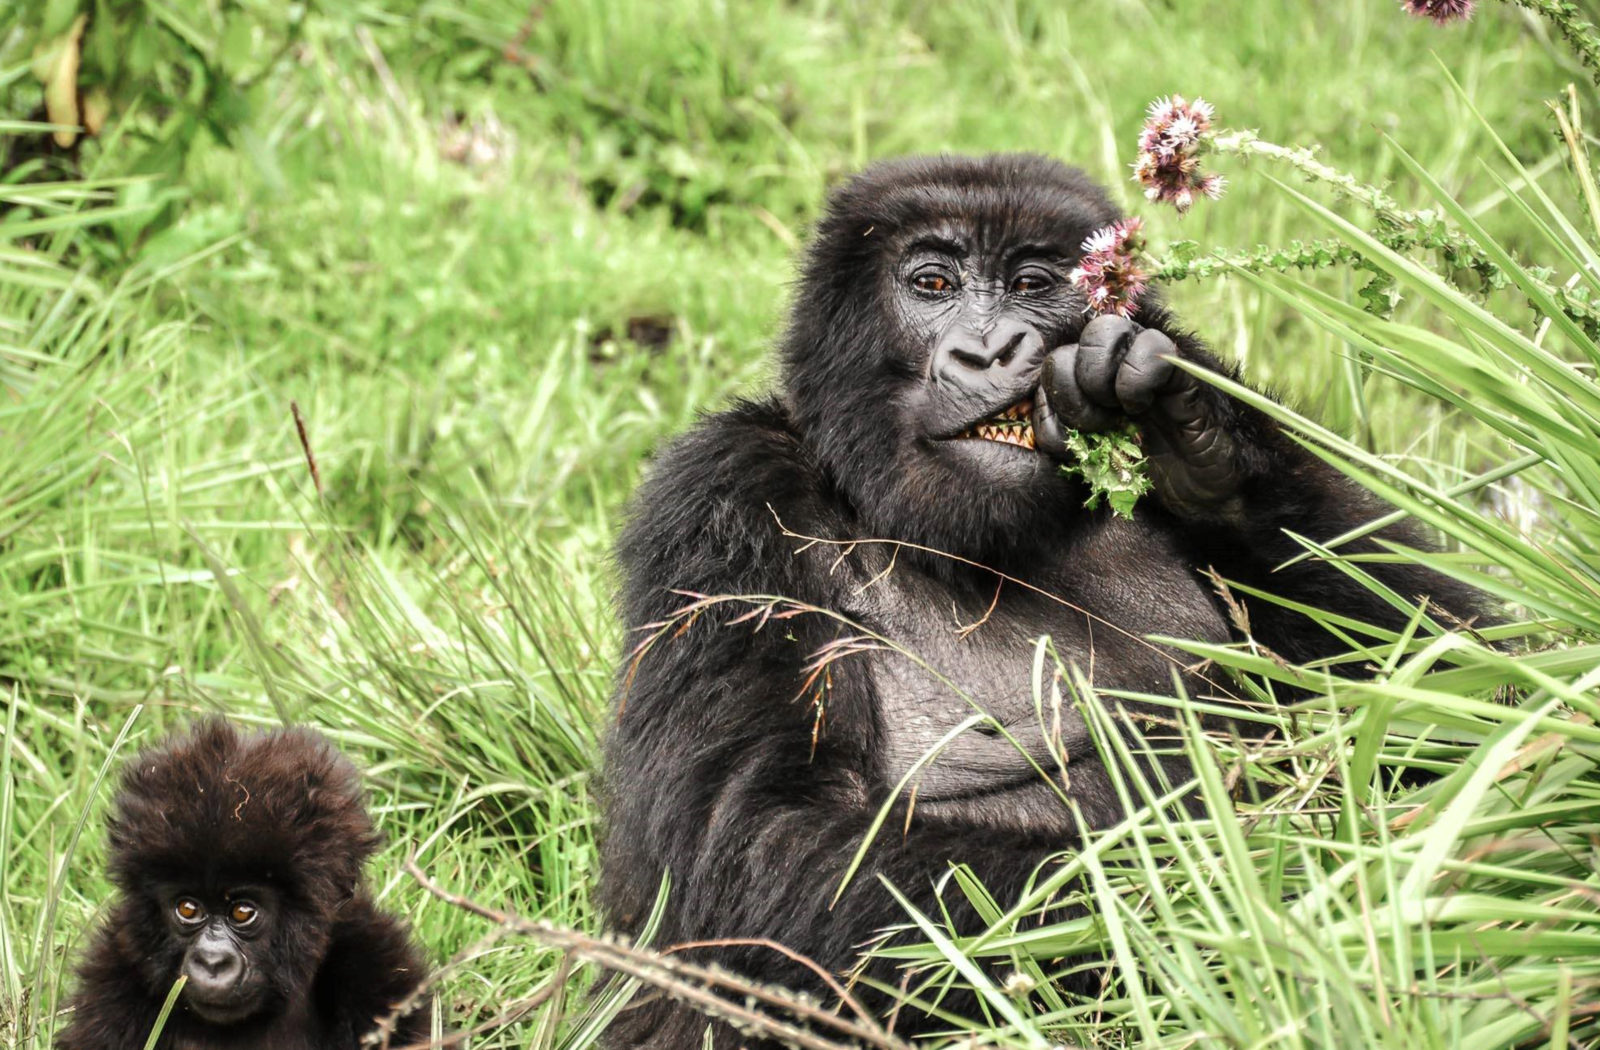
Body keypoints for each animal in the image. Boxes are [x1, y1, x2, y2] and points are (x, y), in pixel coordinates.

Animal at [598, 152, 1472, 1043]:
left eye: (1031, 284)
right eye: (934, 283)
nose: (990, 351)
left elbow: (1451, 664)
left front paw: (1198, 436)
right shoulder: (723, 498)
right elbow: (764, 847)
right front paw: (1268, 884)